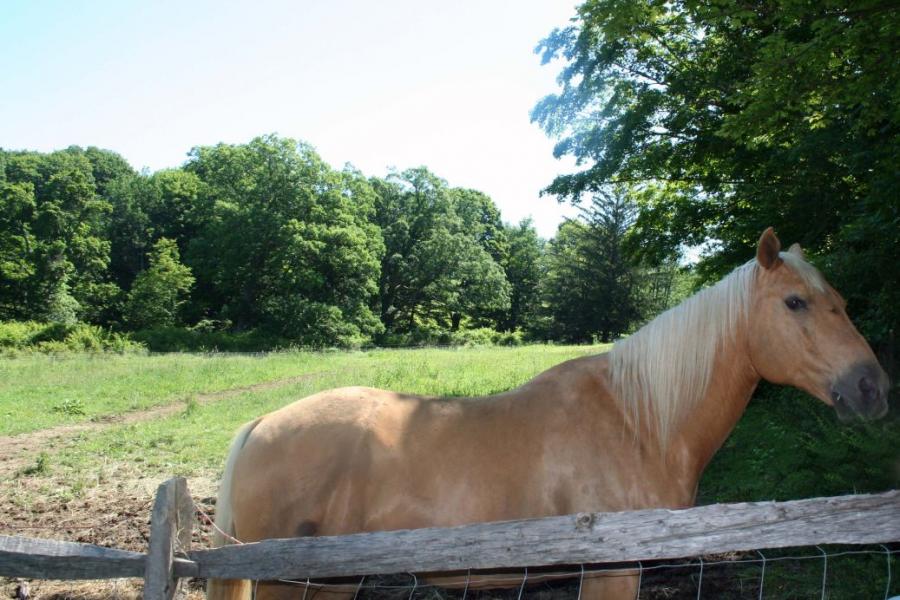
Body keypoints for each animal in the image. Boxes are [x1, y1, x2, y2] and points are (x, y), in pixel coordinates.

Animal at [207, 228, 889, 600]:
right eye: (796, 302)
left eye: (838, 299)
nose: (873, 387)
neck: (638, 419)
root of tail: (260, 427)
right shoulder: (612, 573)